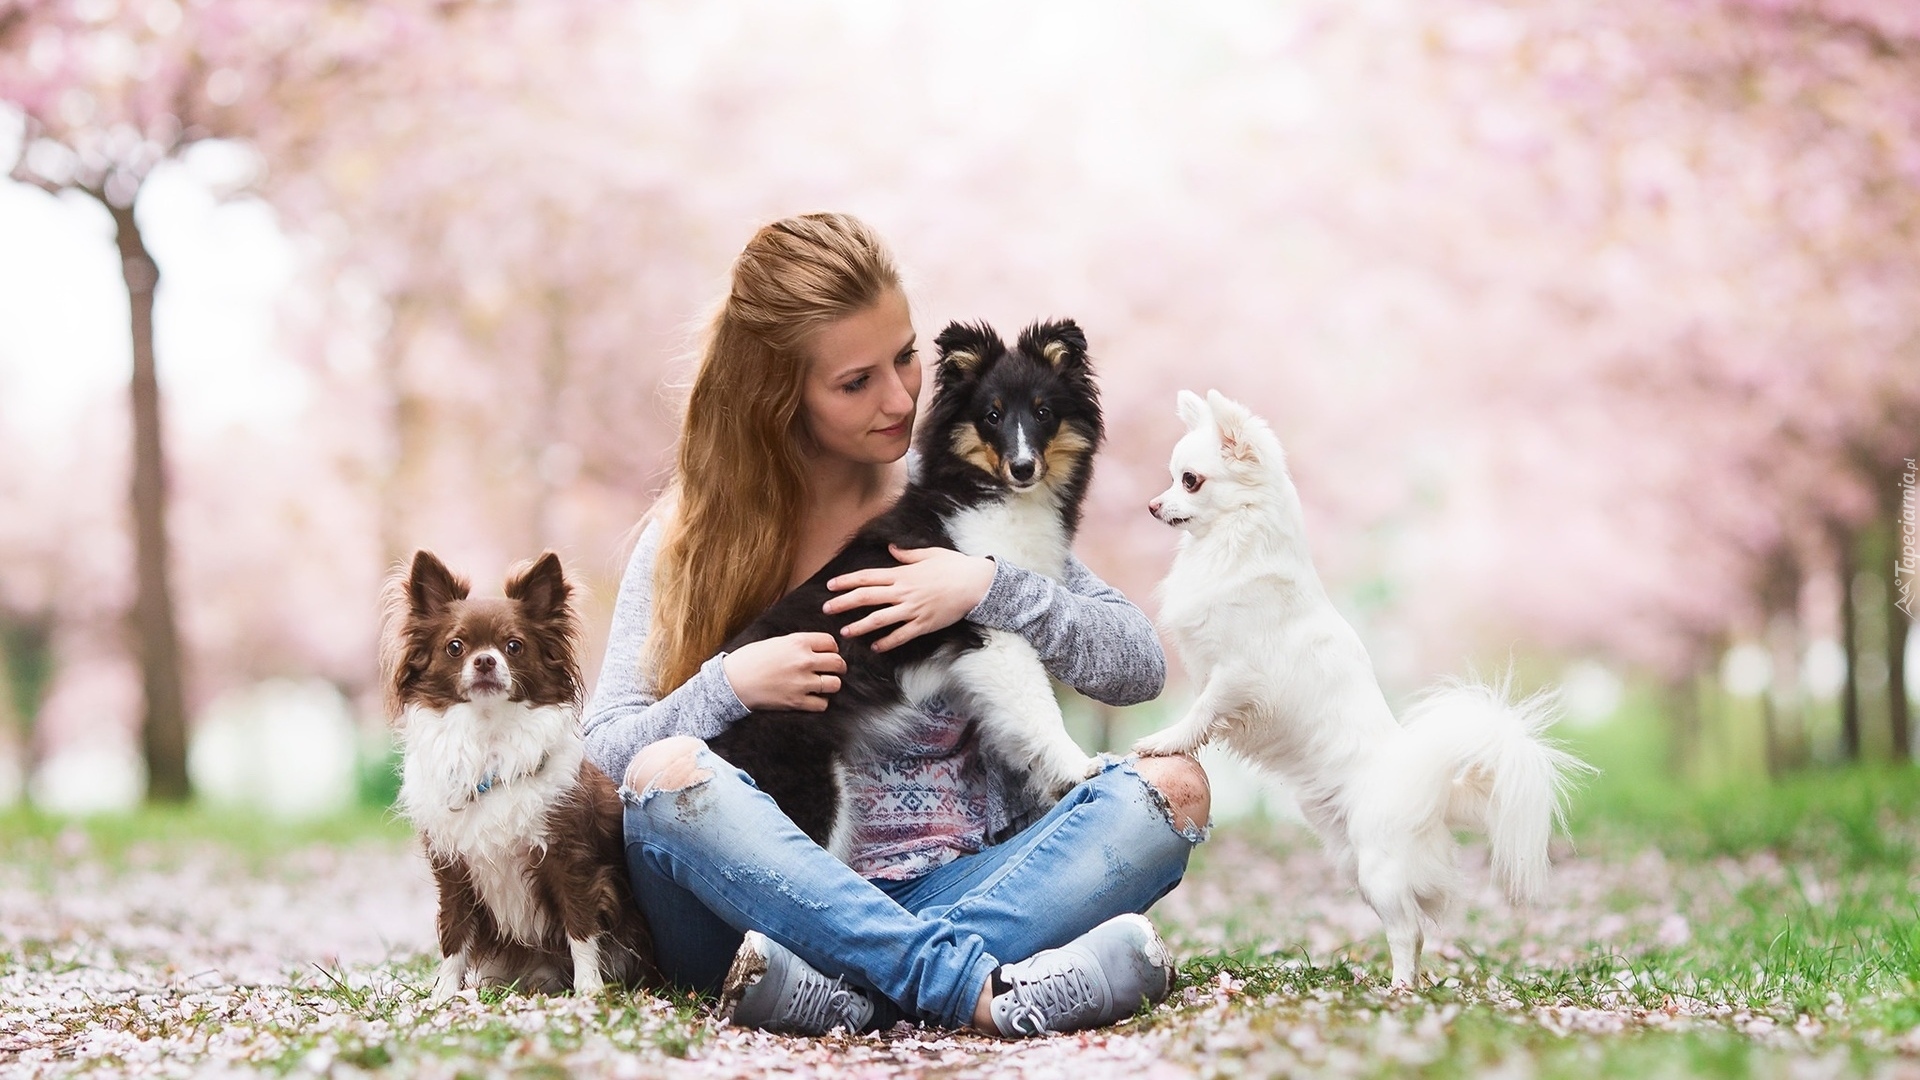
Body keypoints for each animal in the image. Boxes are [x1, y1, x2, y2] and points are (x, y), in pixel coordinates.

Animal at [382, 549, 660, 999]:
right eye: (455, 647)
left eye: (514, 646)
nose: (485, 660)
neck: (489, 737)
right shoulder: (453, 869)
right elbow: (453, 931)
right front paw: (444, 994)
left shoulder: (569, 859)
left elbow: (580, 927)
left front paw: (589, 989)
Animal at [710, 315, 1105, 853]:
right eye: (992, 416)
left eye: (1043, 413)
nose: (1023, 468)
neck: (993, 496)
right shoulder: (992, 636)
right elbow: (1038, 706)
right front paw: (1078, 767)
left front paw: (1054, 781)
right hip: (807, 785)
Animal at [1128, 390, 1597, 991]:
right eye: (1171, 478)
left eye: (1190, 481)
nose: (1152, 505)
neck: (1233, 546)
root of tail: (1425, 784)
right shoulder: (1217, 669)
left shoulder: (1237, 675)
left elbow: (1201, 712)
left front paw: (1163, 741)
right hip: (1355, 862)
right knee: (1413, 931)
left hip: (1378, 868)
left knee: (1408, 930)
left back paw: (1398, 988)